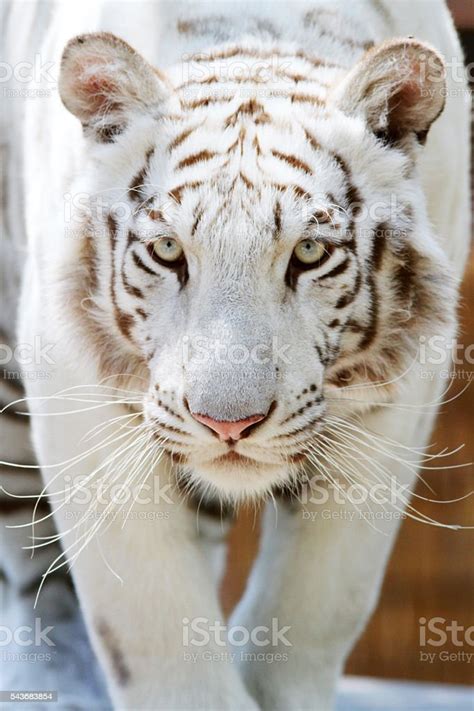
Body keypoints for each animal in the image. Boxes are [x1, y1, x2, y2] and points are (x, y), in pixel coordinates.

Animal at [1, 0, 470, 708]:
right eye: (168, 250)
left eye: (309, 253)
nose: (229, 425)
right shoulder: (76, 390)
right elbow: (155, 634)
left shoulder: (397, 399)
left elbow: (319, 607)